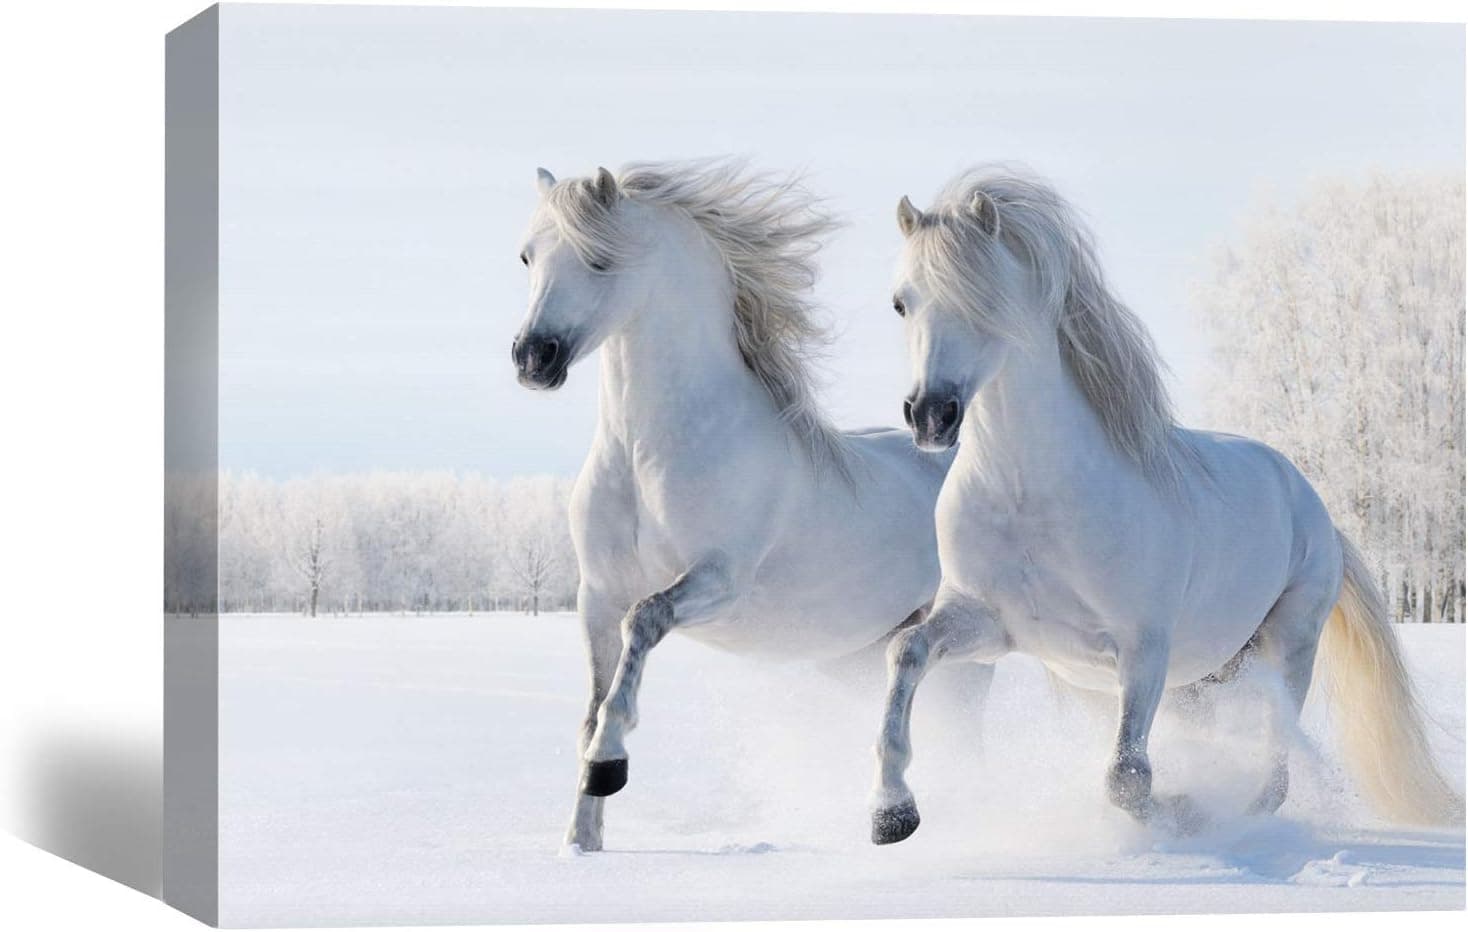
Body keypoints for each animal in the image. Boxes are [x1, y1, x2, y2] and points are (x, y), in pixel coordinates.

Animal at [511, 160, 991, 853]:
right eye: (527, 256)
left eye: (600, 260)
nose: (533, 358)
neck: (645, 455)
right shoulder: (594, 596)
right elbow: (592, 706)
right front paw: (581, 842)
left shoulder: (718, 581)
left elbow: (643, 624)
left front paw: (608, 767)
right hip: (860, 656)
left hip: (967, 652)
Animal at [867, 166, 1463, 844]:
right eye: (901, 302)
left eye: (984, 299)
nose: (930, 415)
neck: (1030, 497)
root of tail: (1312, 503)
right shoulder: (988, 624)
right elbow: (905, 651)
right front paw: (892, 813)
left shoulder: (1143, 648)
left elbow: (1127, 778)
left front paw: (1185, 812)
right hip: (1204, 679)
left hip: (1288, 645)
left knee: (1276, 763)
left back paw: (1241, 818)